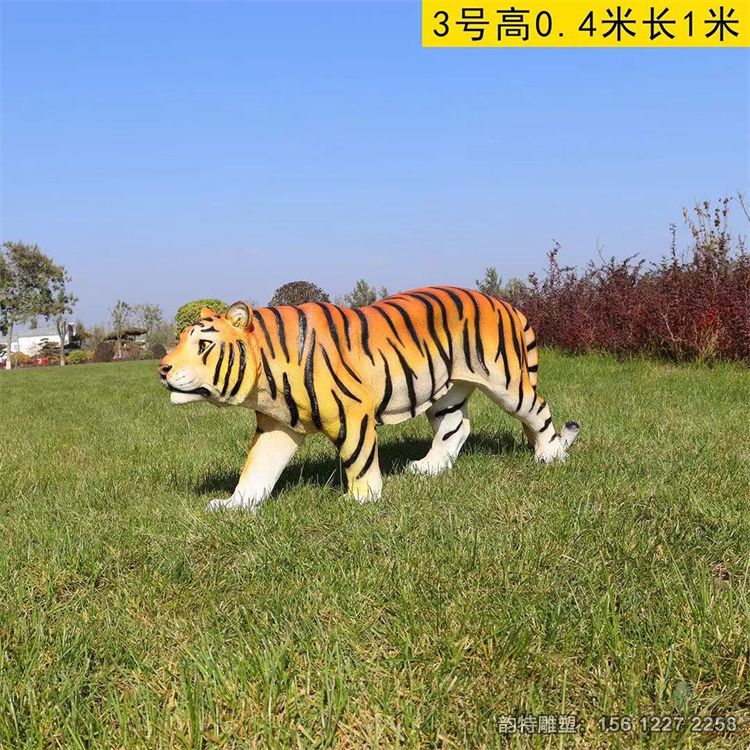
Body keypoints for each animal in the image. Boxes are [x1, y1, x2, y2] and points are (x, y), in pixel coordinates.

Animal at [159, 286, 580, 511]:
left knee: (539, 412)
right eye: (179, 341)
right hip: (446, 390)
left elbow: (358, 459)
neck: (266, 380)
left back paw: (549, 456)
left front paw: (360, 500)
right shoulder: (277, 426)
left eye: (204, 345)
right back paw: (427, 468)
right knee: (456, 427)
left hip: (507, 383)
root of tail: (507, 304)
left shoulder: (352, 412)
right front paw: (235, 505)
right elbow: (257, 469)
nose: (162, 368)